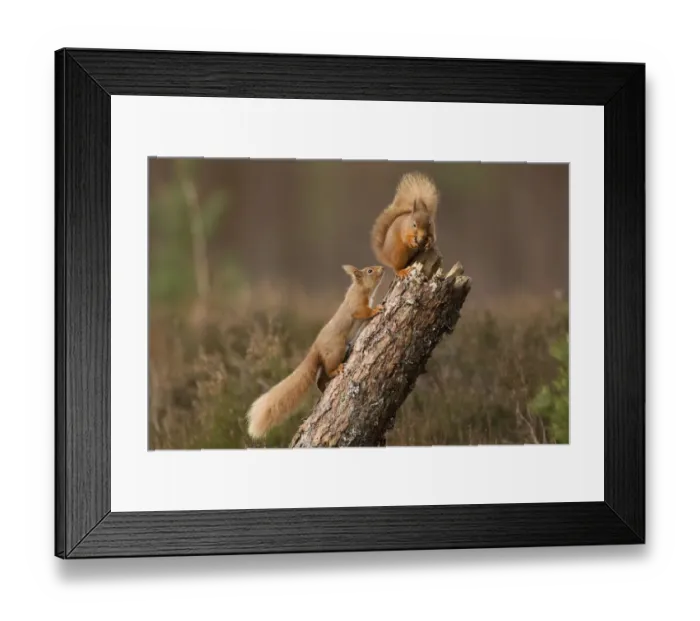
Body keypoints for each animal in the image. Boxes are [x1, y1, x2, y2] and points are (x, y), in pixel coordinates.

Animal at [246, 264, 385, 439]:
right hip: (336, 350)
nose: (382, 268)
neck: (359, 289)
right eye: (369, 271)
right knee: (326, 371)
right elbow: (363, 312)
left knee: (320, 379)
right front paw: (376, 310)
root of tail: (315, 348)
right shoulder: (356, 306)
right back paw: (336, 371)